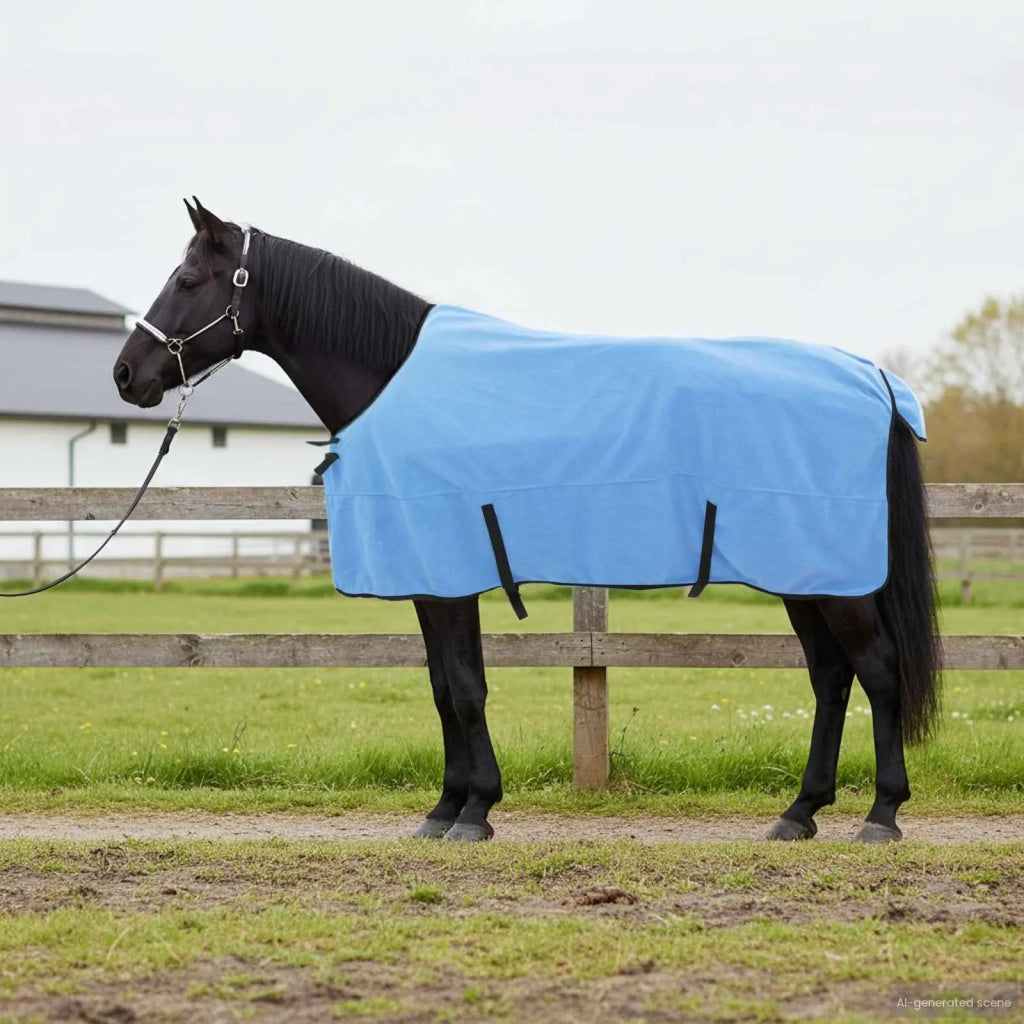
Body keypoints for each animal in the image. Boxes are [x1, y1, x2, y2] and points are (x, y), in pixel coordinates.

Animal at [112, 198, 941, 843]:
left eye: (187, 280)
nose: (126, 374)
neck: (397, 379)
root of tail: (871, 378)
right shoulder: (432, 579)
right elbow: (445, 685)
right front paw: (447, 807)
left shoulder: (447, 575)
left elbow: (465, 687)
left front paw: (474, 811)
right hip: (804, 573)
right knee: (831, 676)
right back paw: (800, 813)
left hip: (830, 577)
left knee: (877, 668)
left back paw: (881, 814)